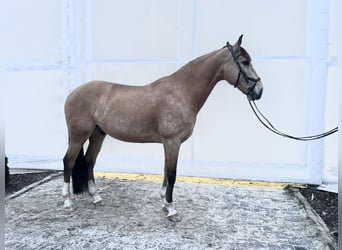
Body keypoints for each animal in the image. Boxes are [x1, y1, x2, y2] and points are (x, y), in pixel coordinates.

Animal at [62, 35, 264, 219]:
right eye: (245, 62)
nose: (259, 91)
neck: (181, 93)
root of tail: (72, 93)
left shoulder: (169, 144)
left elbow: (166, 171)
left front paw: (165, 204)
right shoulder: (172, 141)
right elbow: (172, 174)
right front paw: (172, 209)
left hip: (98, 134)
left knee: (89, 161)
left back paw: (96, 197)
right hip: (79, 135)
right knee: (69, 161)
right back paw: (67, 202)